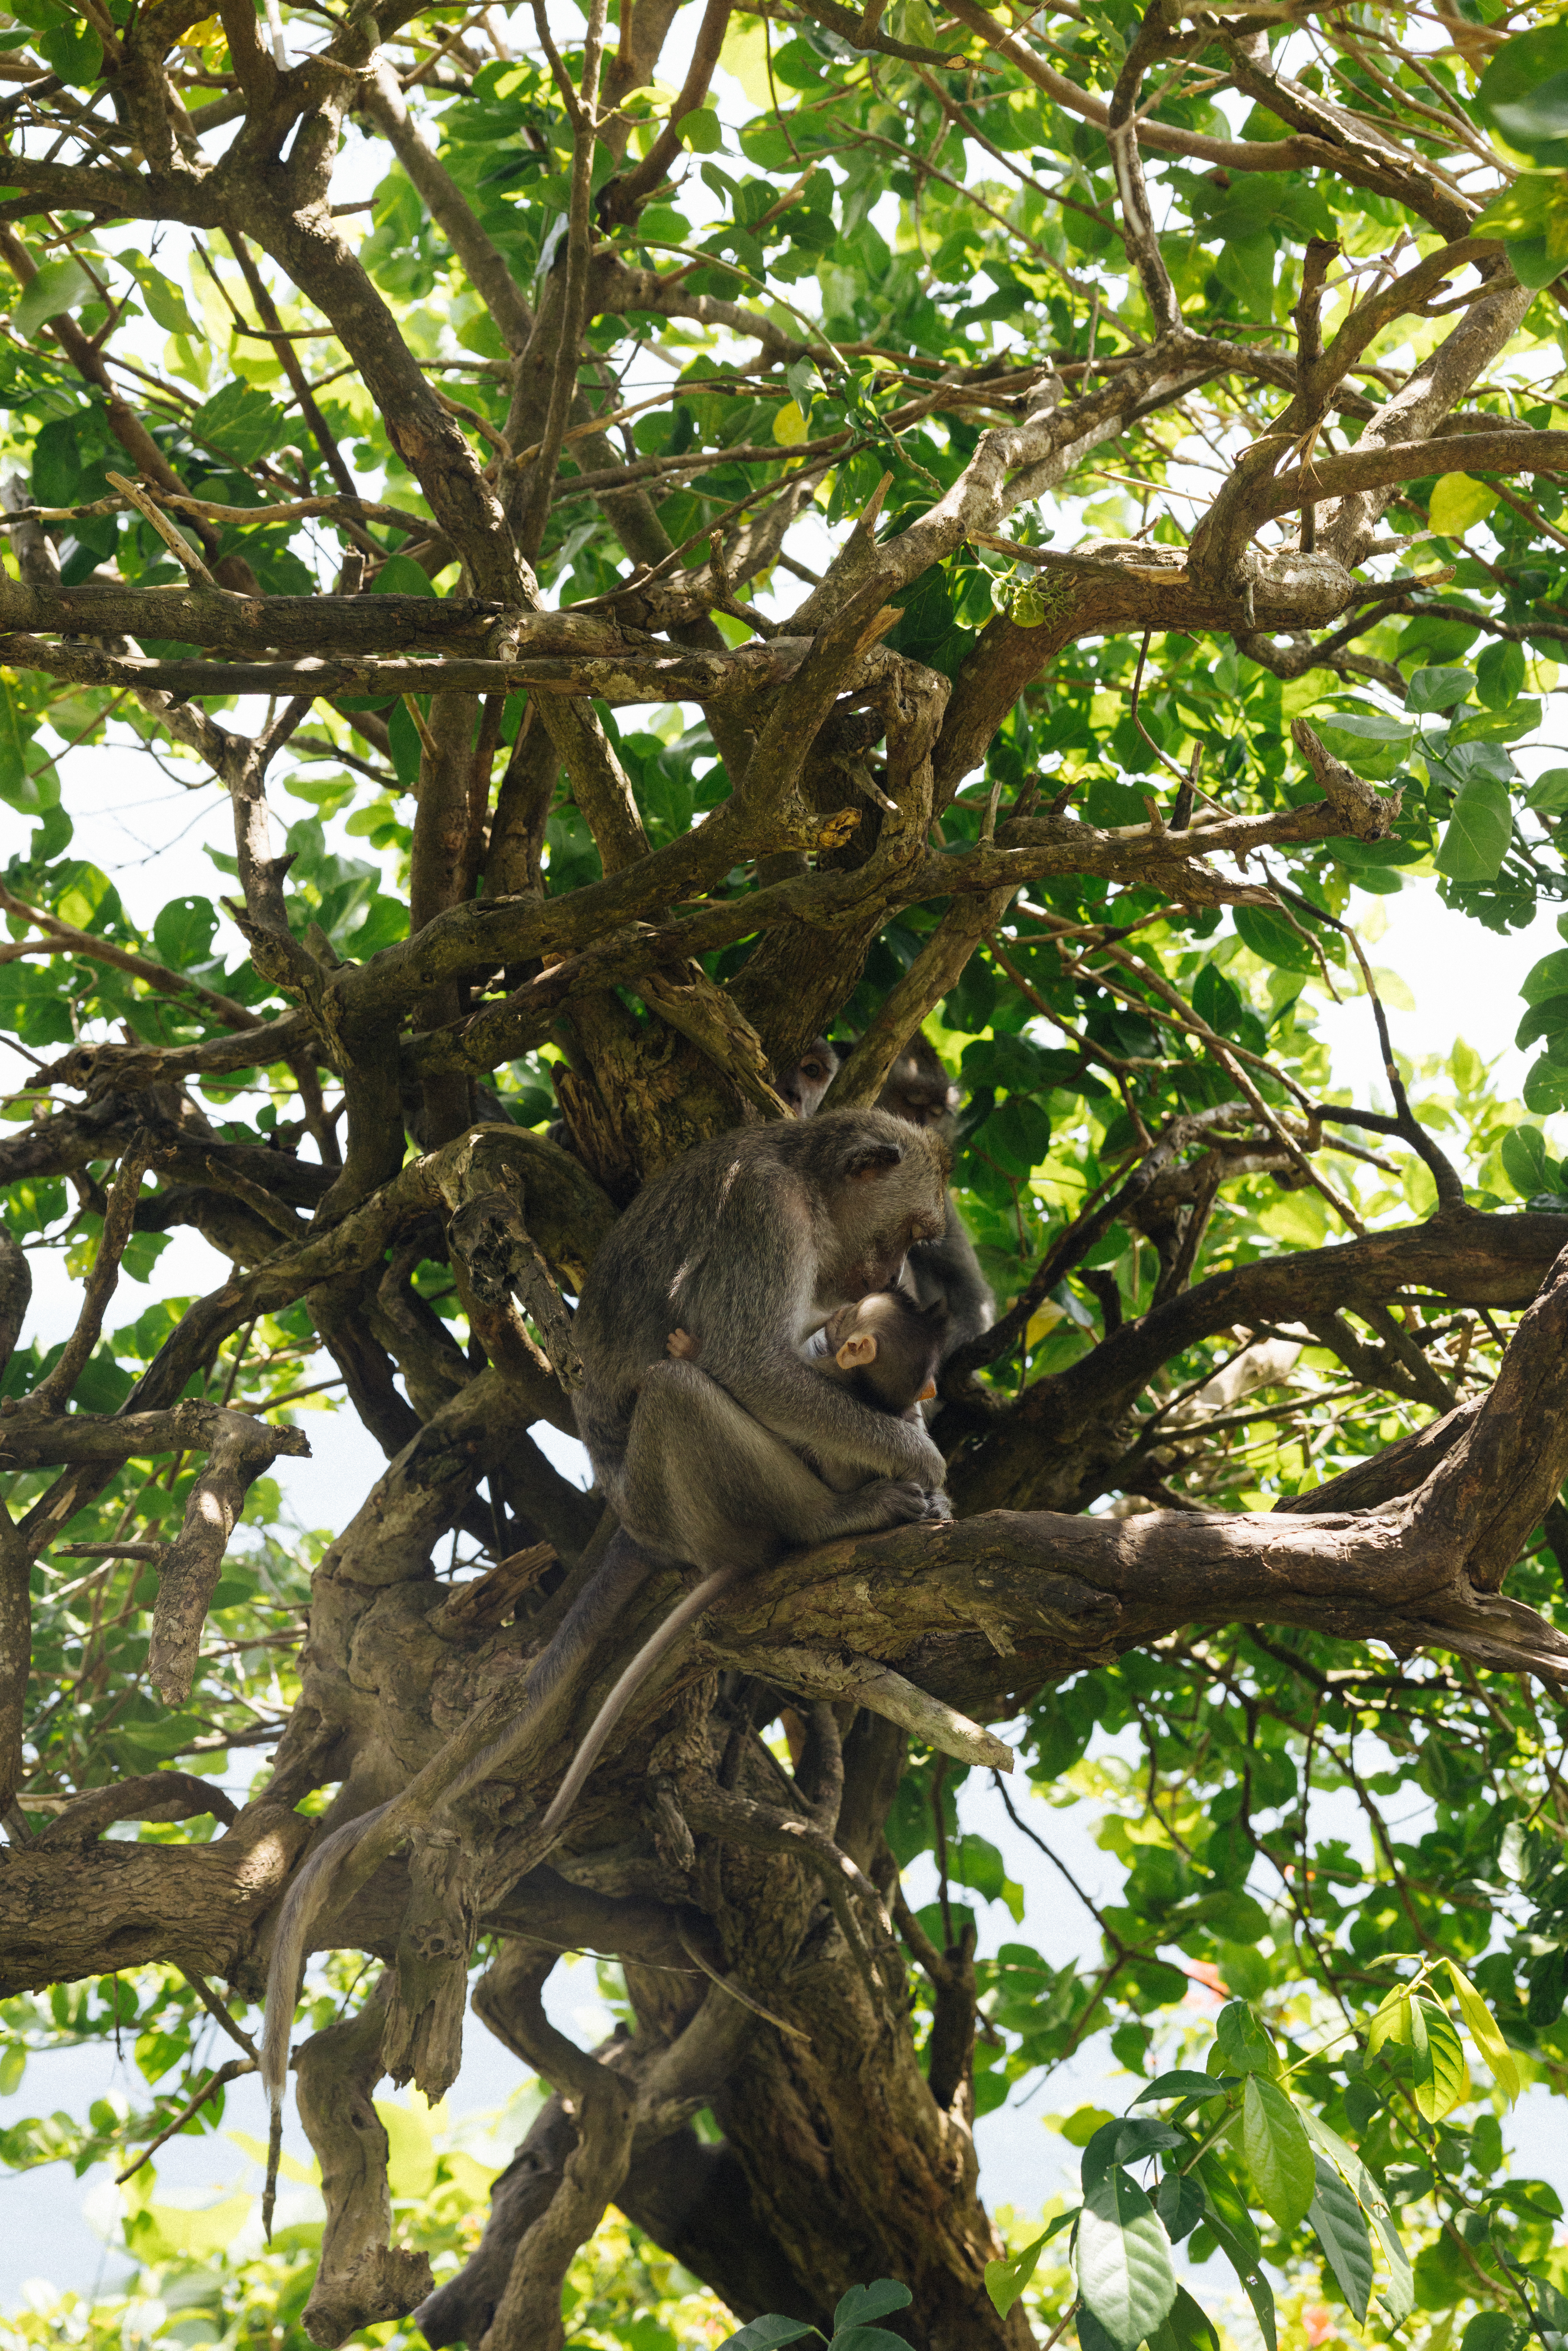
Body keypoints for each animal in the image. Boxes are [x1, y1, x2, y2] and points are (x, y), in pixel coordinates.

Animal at [261, 1107, 949, 2112]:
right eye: (908, 1233)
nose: (880, 1279)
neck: (806, 1177)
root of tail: (631, 1512)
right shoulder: (764, 1214)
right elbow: (747, 1357)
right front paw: (920, 1456)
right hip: (680, 1495)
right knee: (681, 1384)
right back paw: (828, 1522)